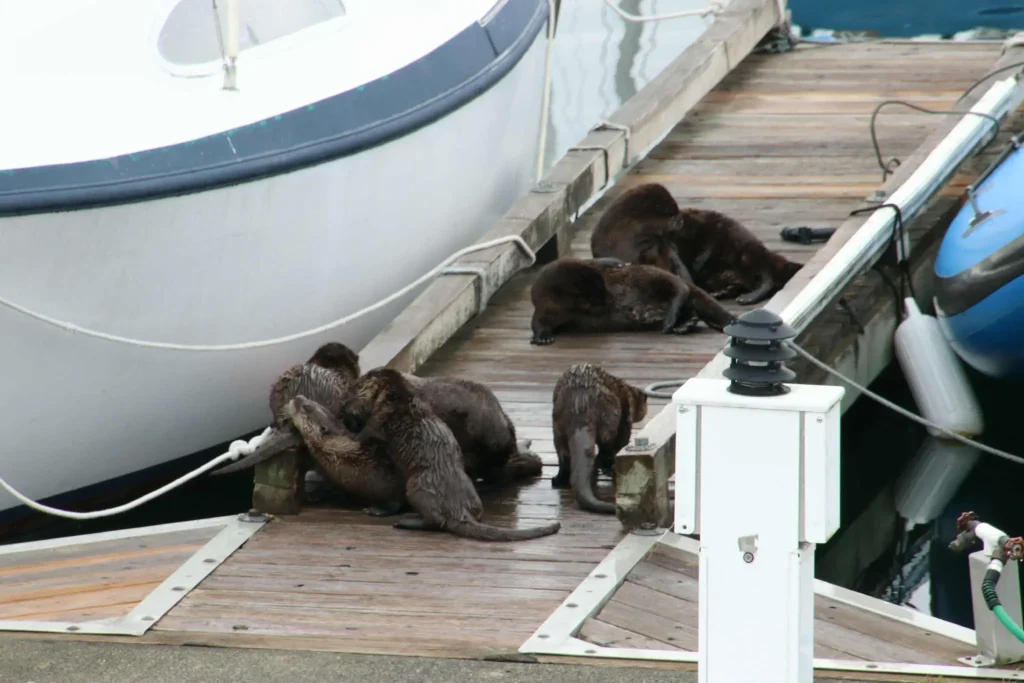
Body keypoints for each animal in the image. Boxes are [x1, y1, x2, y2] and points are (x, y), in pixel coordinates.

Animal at [528, 257, 736, 345]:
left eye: (605, 289)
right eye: (595, 298)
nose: (609, 301)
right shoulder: (545, 310)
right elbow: (538, 323)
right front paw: (543, 336)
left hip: (648, 275)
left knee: (679, 289)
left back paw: (670, 320)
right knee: (688, 308)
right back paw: (677, 322)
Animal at [551, 364, 648, 514]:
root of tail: (580, 405)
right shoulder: (626, 417)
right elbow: (623, 439)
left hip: (557, 426)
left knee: (564, 455)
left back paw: (558, 480)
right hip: (611, 413)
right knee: (607, 444)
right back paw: (606, 466)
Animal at [590, 182, 802, 305]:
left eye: (676, 210)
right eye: (670, 213)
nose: (681, 220)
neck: (626, 241)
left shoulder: (664, 246)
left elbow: (677, 265)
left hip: (743, 246)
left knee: (766, 274)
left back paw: (746, 297)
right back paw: (723, 292)